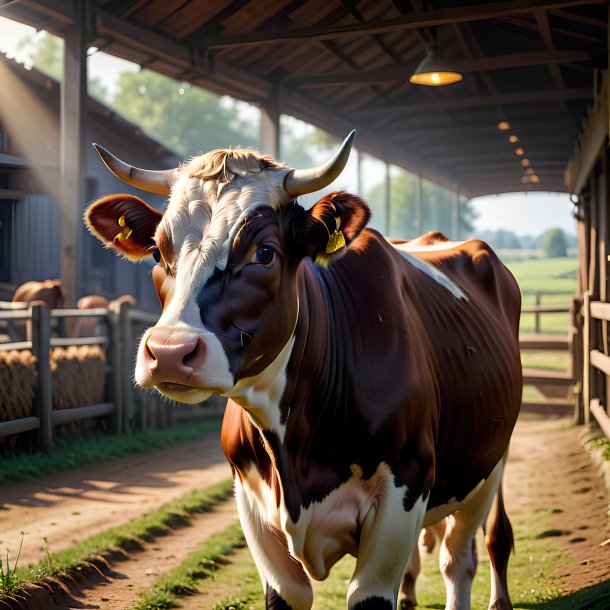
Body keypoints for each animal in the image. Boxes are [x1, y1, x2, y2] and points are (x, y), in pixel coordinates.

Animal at [84, 133, 516, 608]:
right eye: (159, 251)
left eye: (264, 253)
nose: (169, 351)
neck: (295, 453)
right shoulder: (252, 503)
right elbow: (288, 592)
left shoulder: (405, 487)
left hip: (490, 464)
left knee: (463, 555)